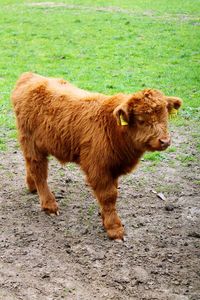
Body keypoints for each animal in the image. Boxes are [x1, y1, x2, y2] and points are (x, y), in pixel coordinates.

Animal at [11, 74, 182, 240]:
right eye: (141, 120)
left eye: (165, 116)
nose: (165, 141)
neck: (114, 128)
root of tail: (30, 77)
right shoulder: (98, 168)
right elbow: (108, 196)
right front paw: (114, 228)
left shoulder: (113, 167)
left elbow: (111, 194)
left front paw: (105, 218)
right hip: (31, 142)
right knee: (38, 170)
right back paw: (49, 205)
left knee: (31, 166)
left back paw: (32, 187)